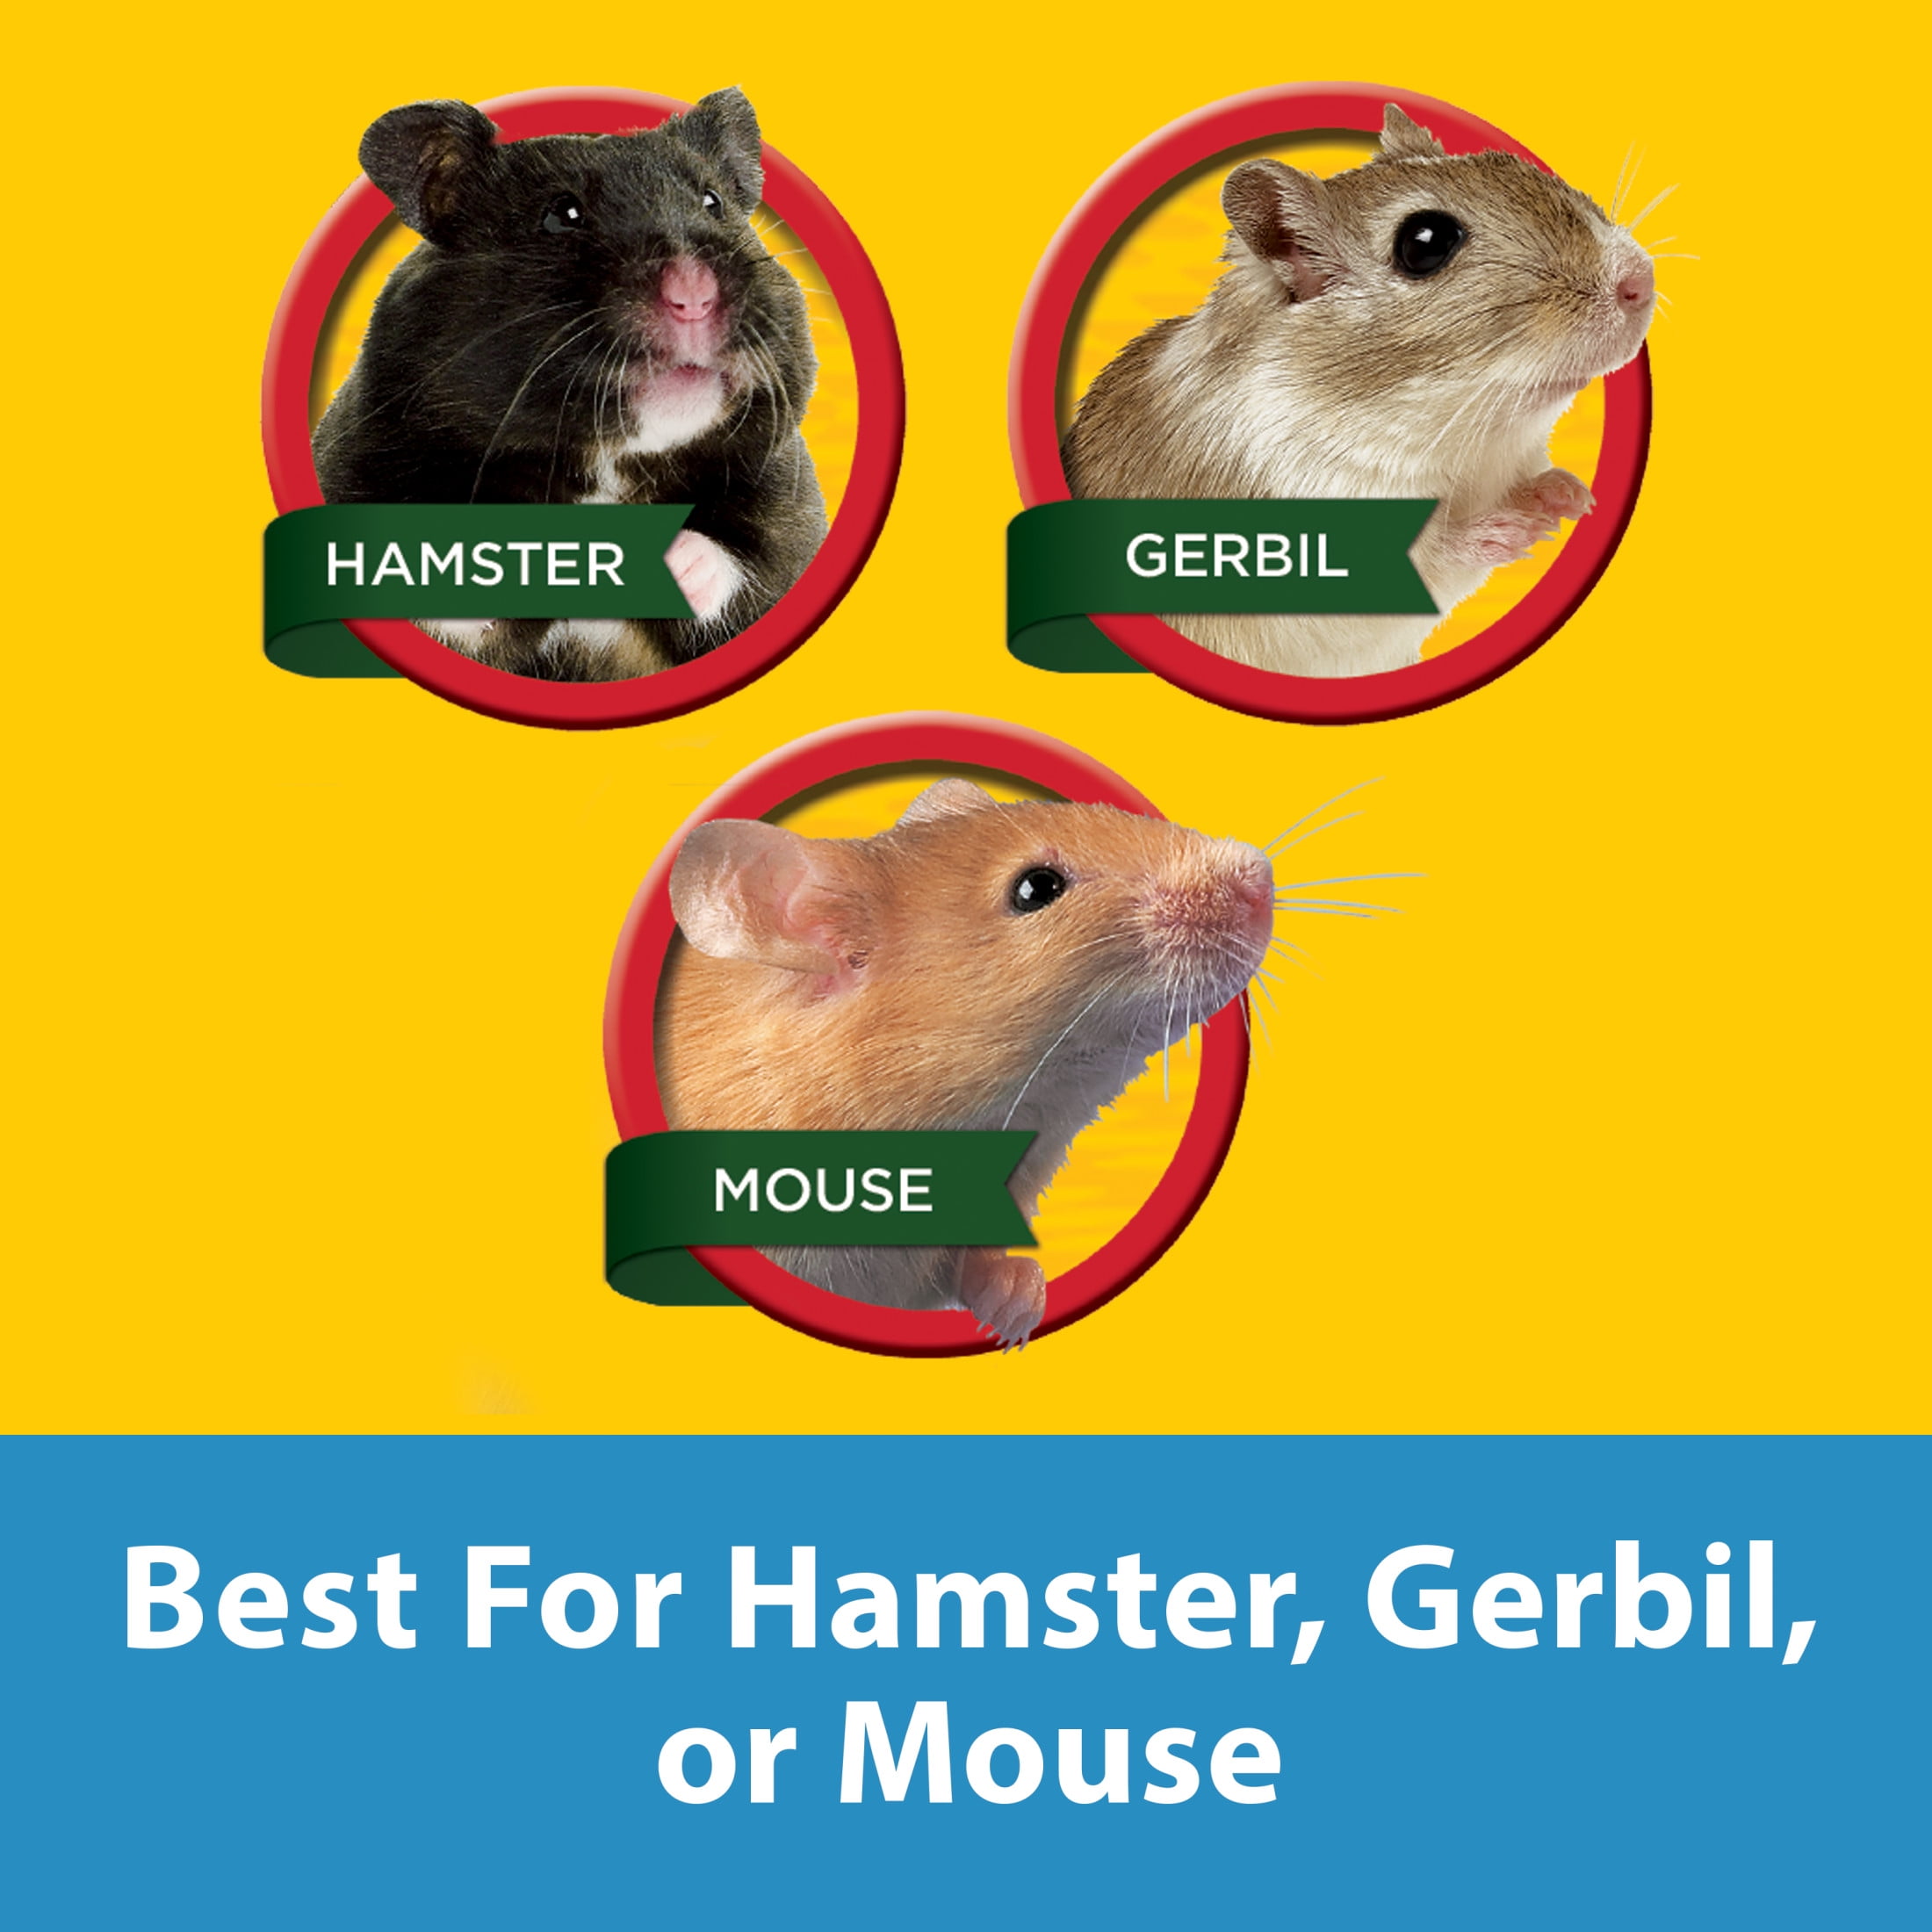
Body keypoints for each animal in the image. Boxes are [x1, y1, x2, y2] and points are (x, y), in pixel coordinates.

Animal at [313, 89, 825, 682]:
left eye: (712, 201)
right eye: (562, 215)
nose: (693, 296)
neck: (606, 460)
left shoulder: (790, 511)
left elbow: (746, 560)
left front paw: (669, 560)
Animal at [1061, 104, 1658, 678]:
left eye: (1507, 162)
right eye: (1425, 244)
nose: (1641, 281)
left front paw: (1565, 494)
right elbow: (1432, 556)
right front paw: (1512, 529)